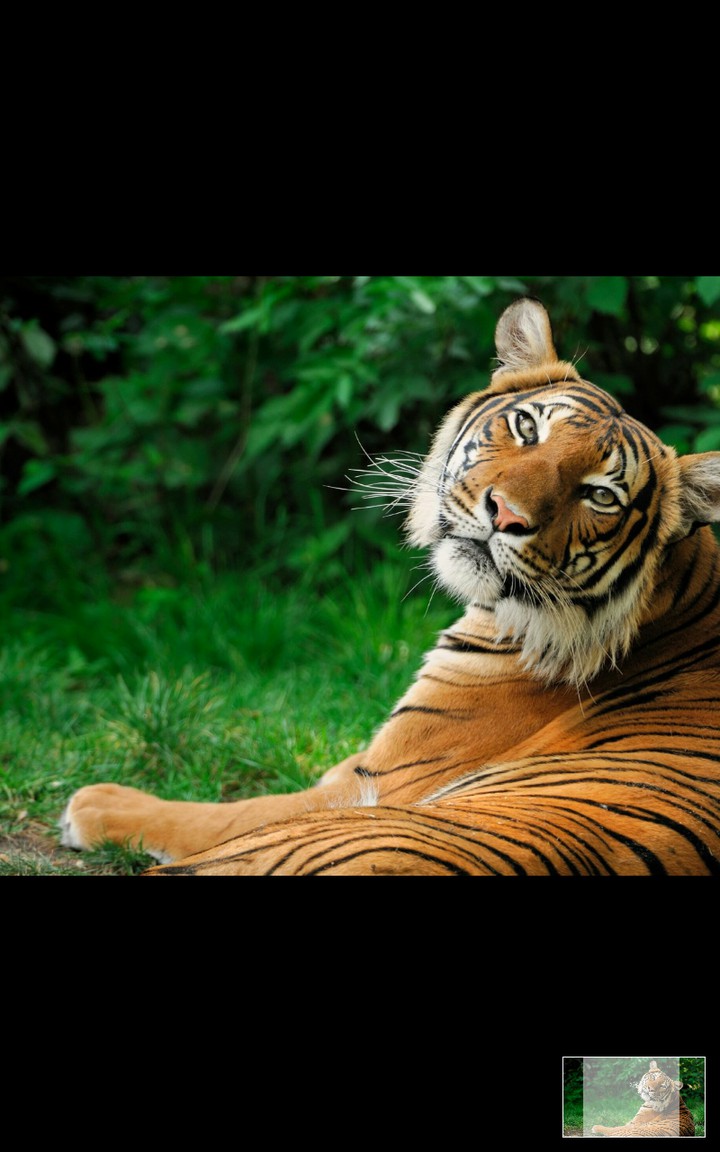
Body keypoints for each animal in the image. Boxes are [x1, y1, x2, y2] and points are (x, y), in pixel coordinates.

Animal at [59, 297, 720, 875]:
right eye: (527, 426)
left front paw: (96, 803)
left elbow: (227, 813)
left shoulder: (382, 780)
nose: (506, 514)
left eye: (601, 495)